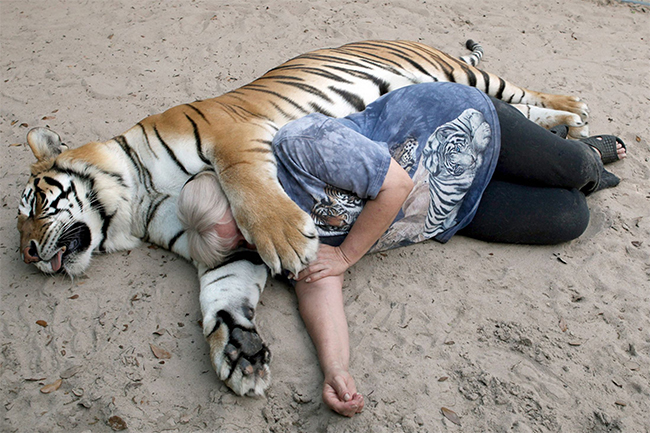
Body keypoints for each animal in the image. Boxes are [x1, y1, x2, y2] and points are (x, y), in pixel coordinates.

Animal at [16, 38, 588, 396]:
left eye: (33, 205)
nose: (27, 255)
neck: (137, 201)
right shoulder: (222, 251)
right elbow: (221, 298)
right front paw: (240, 356)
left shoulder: (229, 133)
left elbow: (245, 182)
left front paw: (289, 240)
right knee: (526, 112)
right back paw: (575, 131)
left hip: (465, 73)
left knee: (520, 91)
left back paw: (576, 109)